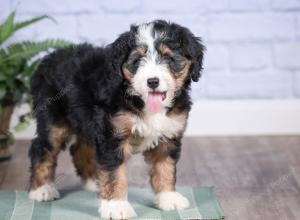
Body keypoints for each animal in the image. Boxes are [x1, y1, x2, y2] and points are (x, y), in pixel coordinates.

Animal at [28, 19, 204, 219]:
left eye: (168, 58)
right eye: (137, 60)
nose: (152, 81)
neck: (138, 99)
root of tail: (48, 59)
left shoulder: (168, 134)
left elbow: (165, 166)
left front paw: (168, 197)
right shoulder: (112, 135)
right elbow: (114, 173)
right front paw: (116, 206)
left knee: (79, 148)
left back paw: (93, 181)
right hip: (53, 120)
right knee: (42, 148)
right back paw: (41, 189)